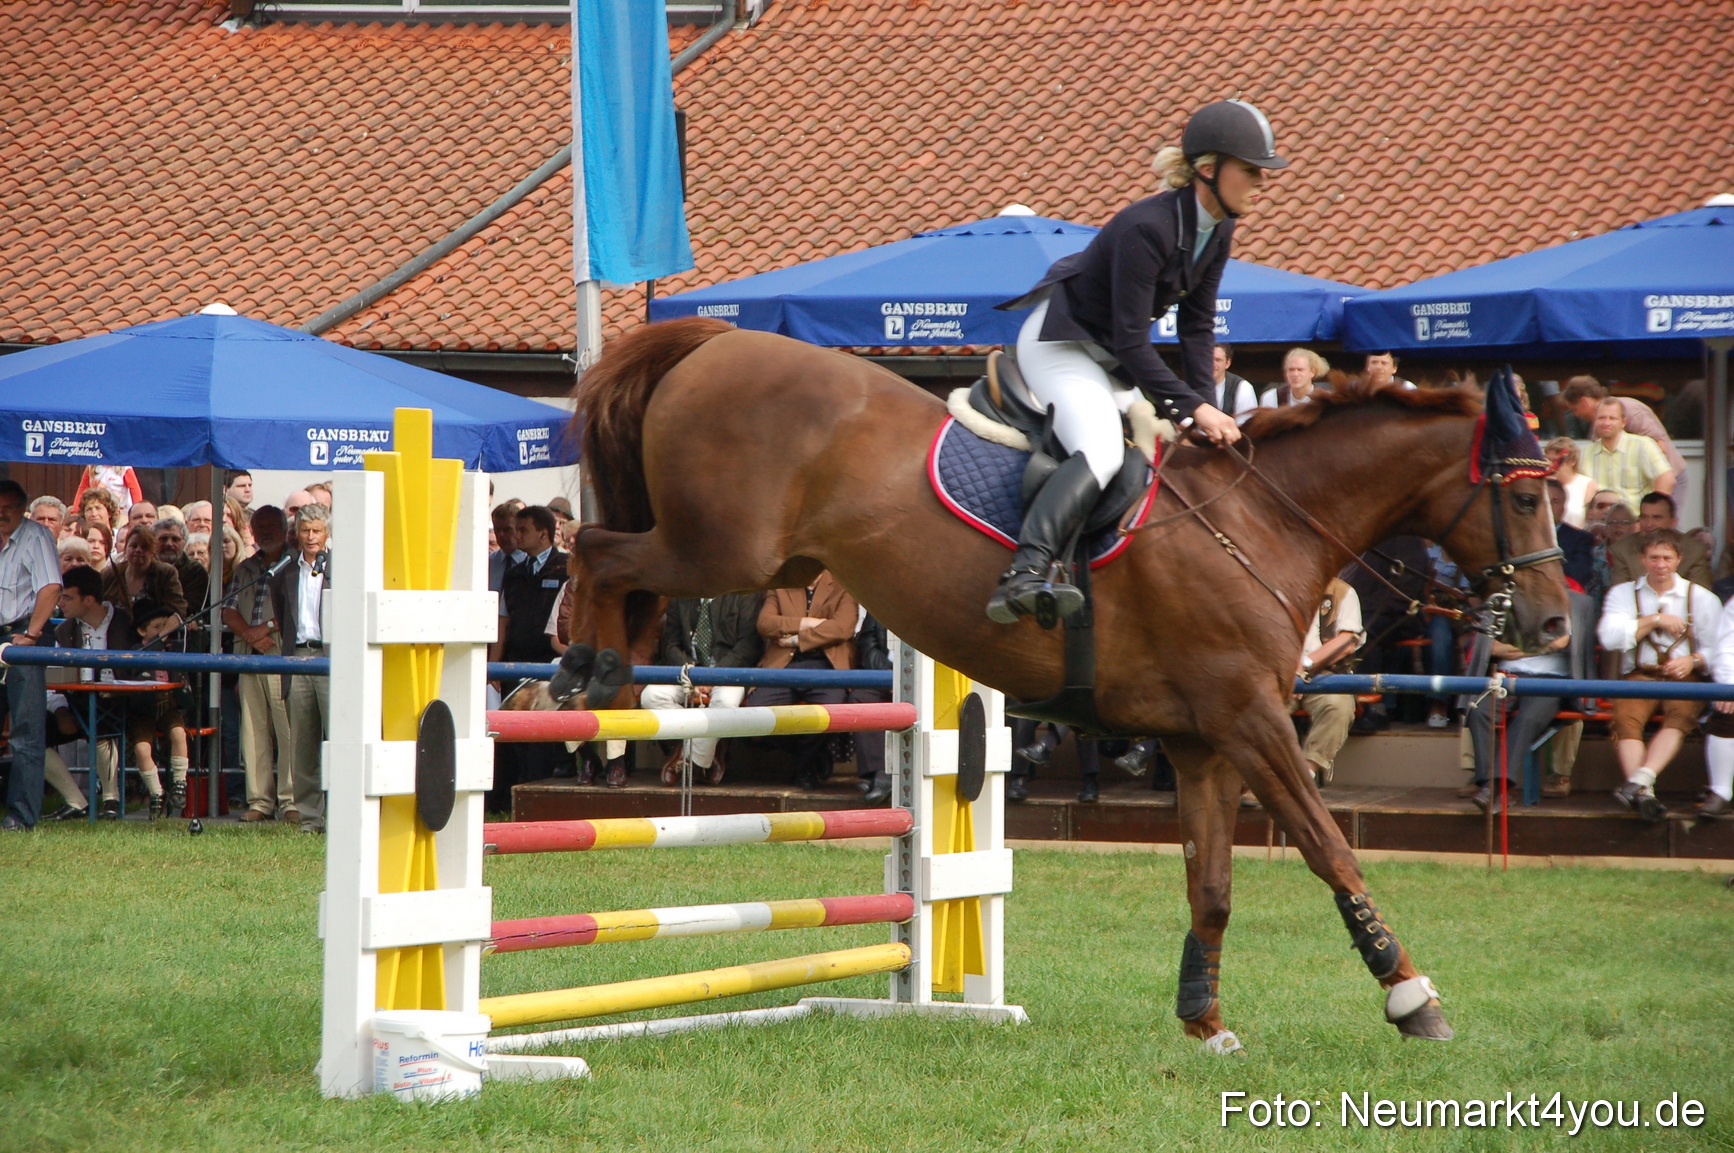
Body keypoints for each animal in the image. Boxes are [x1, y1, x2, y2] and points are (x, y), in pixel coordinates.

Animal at [560, 317, 1571, 1052]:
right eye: (1525, 496)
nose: (1554, 624)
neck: (1257, 518)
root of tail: (718, 339)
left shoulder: (1204, 742)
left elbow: (1212, 884)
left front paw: (1204, 1020)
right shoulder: (1252, 722)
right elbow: (1331, 850)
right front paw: (1411, 996)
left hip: (757, 557)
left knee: (617, 561)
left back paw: (599, 671)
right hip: (721, 546)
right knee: (598, 548)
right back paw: (588, 665)